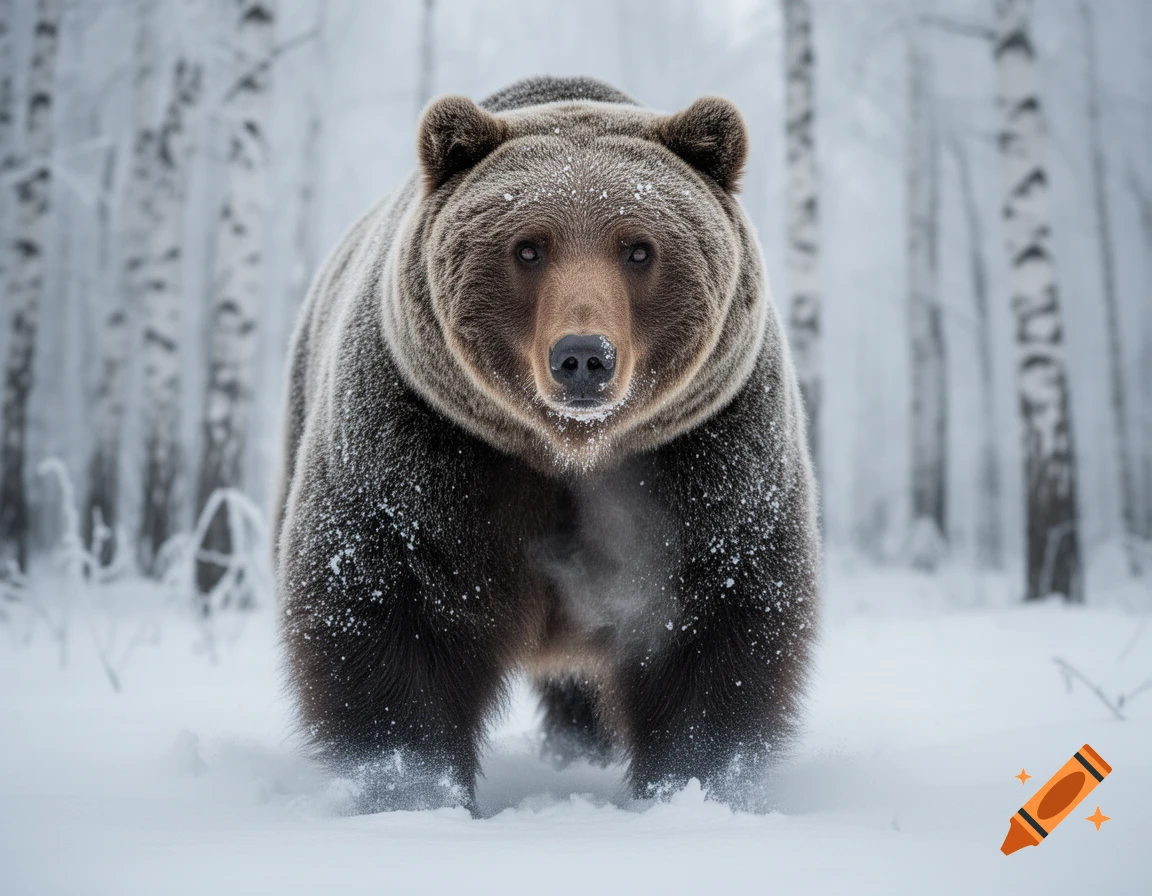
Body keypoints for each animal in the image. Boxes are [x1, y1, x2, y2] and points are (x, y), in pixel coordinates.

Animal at [275, 75, 820, 813]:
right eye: (528, 247)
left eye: (638, 248)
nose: (583, 357)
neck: (567, 455)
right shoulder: (421, 450)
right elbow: (386, 612)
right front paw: (412, 789)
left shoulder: (703, 459)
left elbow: (716, 625)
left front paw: (693, 784)